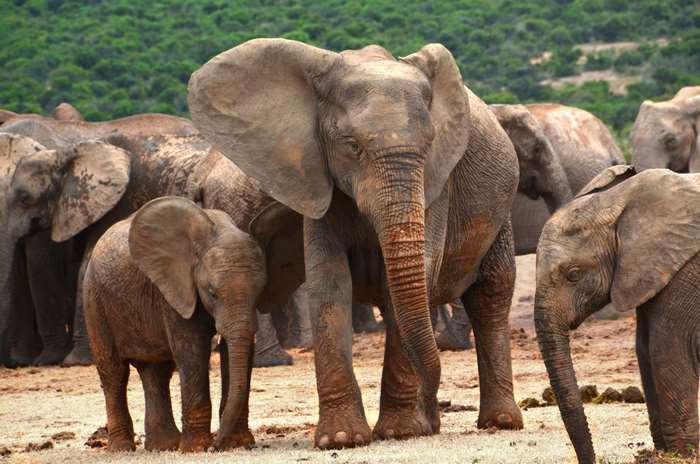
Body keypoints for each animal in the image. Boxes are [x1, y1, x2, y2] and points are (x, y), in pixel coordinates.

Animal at [85, 196, 266, 452]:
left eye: (260, 291)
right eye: (212, 293)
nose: (217, 445)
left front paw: (237, 444)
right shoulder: (174, 289)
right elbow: (191, 350)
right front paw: (197, 449)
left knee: (156, 371)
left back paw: (163, 446)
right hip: (94, 298)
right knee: (113, 372)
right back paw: (122, 448)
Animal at [189, 38, 522, 449]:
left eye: (430, 144)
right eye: (352, 146)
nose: (437, 408)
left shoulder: (437, 183)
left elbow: (409, 284)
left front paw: (399, 432)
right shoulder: (315, 176)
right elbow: (329, 283)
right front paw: (341, 438)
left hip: (501, 210)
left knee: (490, 294)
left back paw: (498, 422)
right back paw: (433, 424)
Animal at [534, 165, 700, 463]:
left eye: (573, 274)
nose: (593, 460)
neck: (620, 201)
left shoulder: (685, 270)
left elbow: (667, 349)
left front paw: (682, 455)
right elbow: (644, 350)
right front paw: (661, 453)